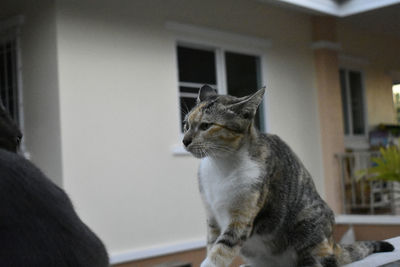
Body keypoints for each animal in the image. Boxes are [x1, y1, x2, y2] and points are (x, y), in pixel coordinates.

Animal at [183, 86, 396, 267]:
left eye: (206, 126)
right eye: (186, 124)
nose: (184, 140)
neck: (221, 165)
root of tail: (333, 242)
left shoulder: (242, 217)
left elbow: (221, 249)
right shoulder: (212, 217)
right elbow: (212, 245)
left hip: (307, 224)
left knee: (321, 260)